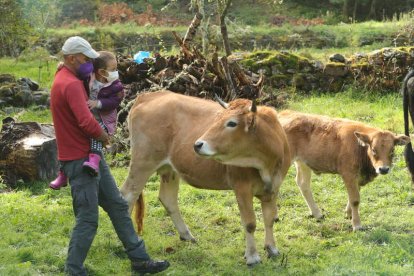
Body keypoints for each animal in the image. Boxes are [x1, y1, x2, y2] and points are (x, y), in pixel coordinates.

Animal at [119, 91, 290, 266]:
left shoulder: (274, 188)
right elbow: (250, 223)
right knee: (127, 196)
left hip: (169, 169)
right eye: (218, 118)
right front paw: (252, 256)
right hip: (142, 163)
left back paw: (186, 235)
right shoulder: (242, 188)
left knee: (168, 199)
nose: (197, 144)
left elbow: (270, 218)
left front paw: (272, 249)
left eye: (232, 123)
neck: (266, 165)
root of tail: (149, 95)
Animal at [276, 110, 410, 231]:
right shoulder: (349, 174)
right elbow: (355, 199)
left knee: (303, 184)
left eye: (392, 150)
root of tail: (283, 113)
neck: (359, 147)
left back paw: (317, 214)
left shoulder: (357, 176)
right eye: (373, 149)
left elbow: (354, 195)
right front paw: (357, 225)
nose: (383, 169)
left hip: (302, 162)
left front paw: (348, 214)